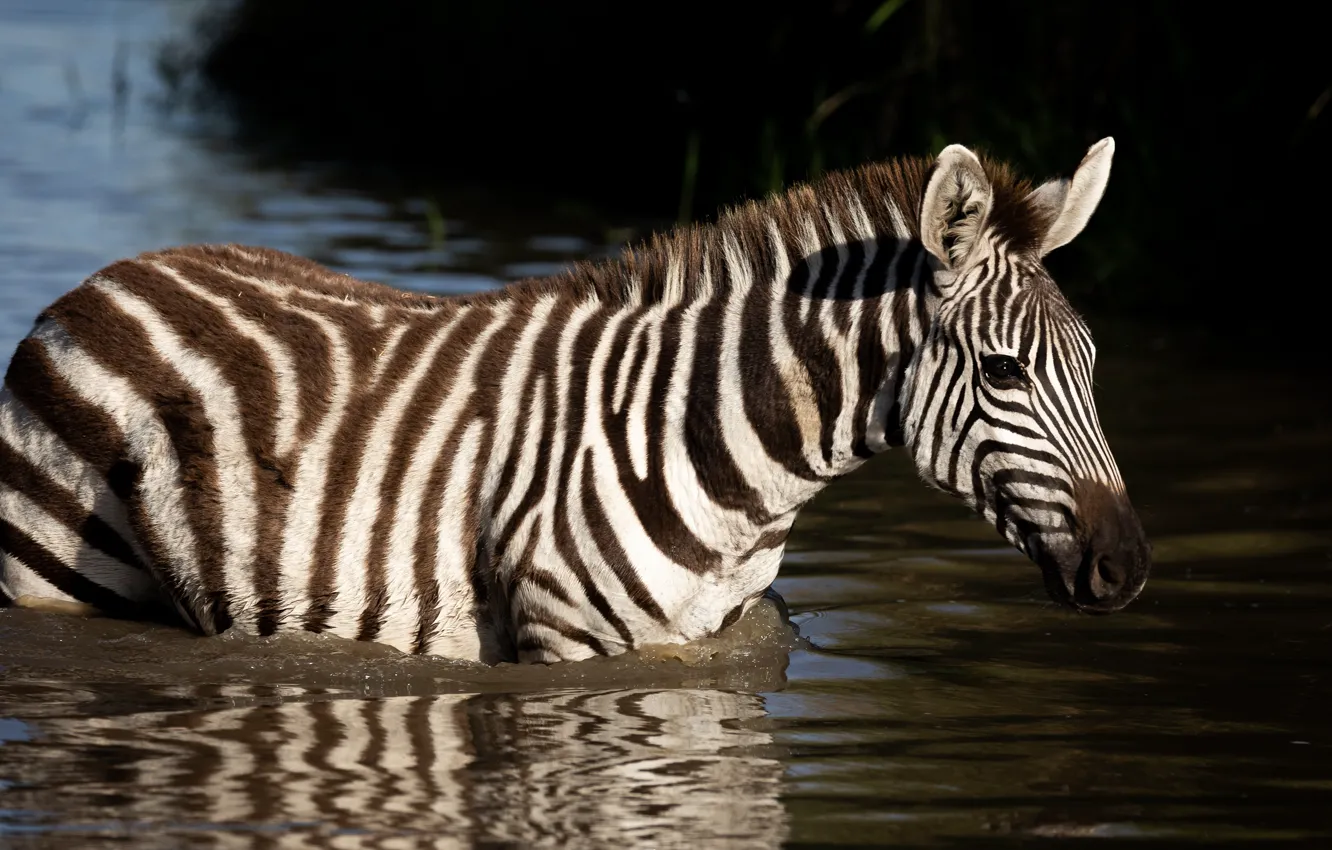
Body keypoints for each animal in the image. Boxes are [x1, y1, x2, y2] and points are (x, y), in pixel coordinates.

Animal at [0, 136, 1151, 664]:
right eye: (1004, 373)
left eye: (1095, 364)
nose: (1130, 568)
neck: (726, 451)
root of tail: (98, 278)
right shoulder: (566, 650)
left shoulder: (704, 642)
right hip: (55, 581)